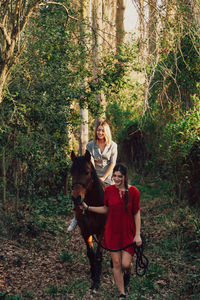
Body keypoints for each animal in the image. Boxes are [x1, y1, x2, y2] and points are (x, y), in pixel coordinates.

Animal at [70, 151, 108, 290]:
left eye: (86, 172)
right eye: (71, 171)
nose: (76, 198)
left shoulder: (102, 231)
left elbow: (98, 256)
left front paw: (97, 280)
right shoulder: (85, 231)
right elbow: (90, 254)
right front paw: (93, 273)